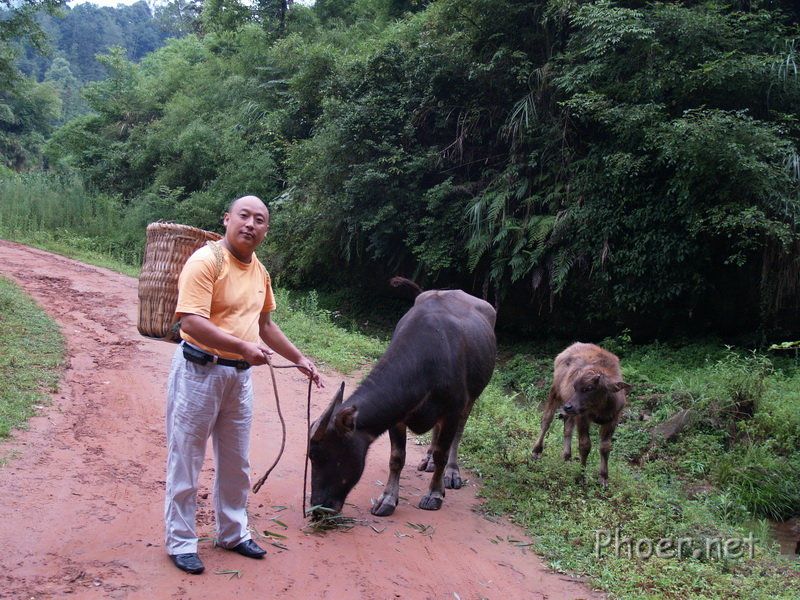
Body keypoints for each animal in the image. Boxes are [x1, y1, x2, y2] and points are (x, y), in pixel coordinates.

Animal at [310, 278, 496, 516]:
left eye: (323, 456)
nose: (318, 508)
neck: (429, 361)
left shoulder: (452, 410)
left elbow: (443, 453)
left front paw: (434, 494)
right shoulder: (397, 416)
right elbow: (397, 457)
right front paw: (388, 499)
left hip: (471, 398)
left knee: (458, 433)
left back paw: (451, 472)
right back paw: (428, 460)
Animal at [532, 342, 632, 488]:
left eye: (589, 388)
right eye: (575, 386)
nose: (568, 406)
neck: (600, 407)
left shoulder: (613, 420)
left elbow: (605, 447)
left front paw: (604, 478)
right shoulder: (582, 418)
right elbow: (585, 445)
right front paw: (581, 476)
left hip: (570, 411)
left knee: (567, 428)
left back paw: (567, 456)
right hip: (555, 393)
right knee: (546, 421)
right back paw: (536, 450)